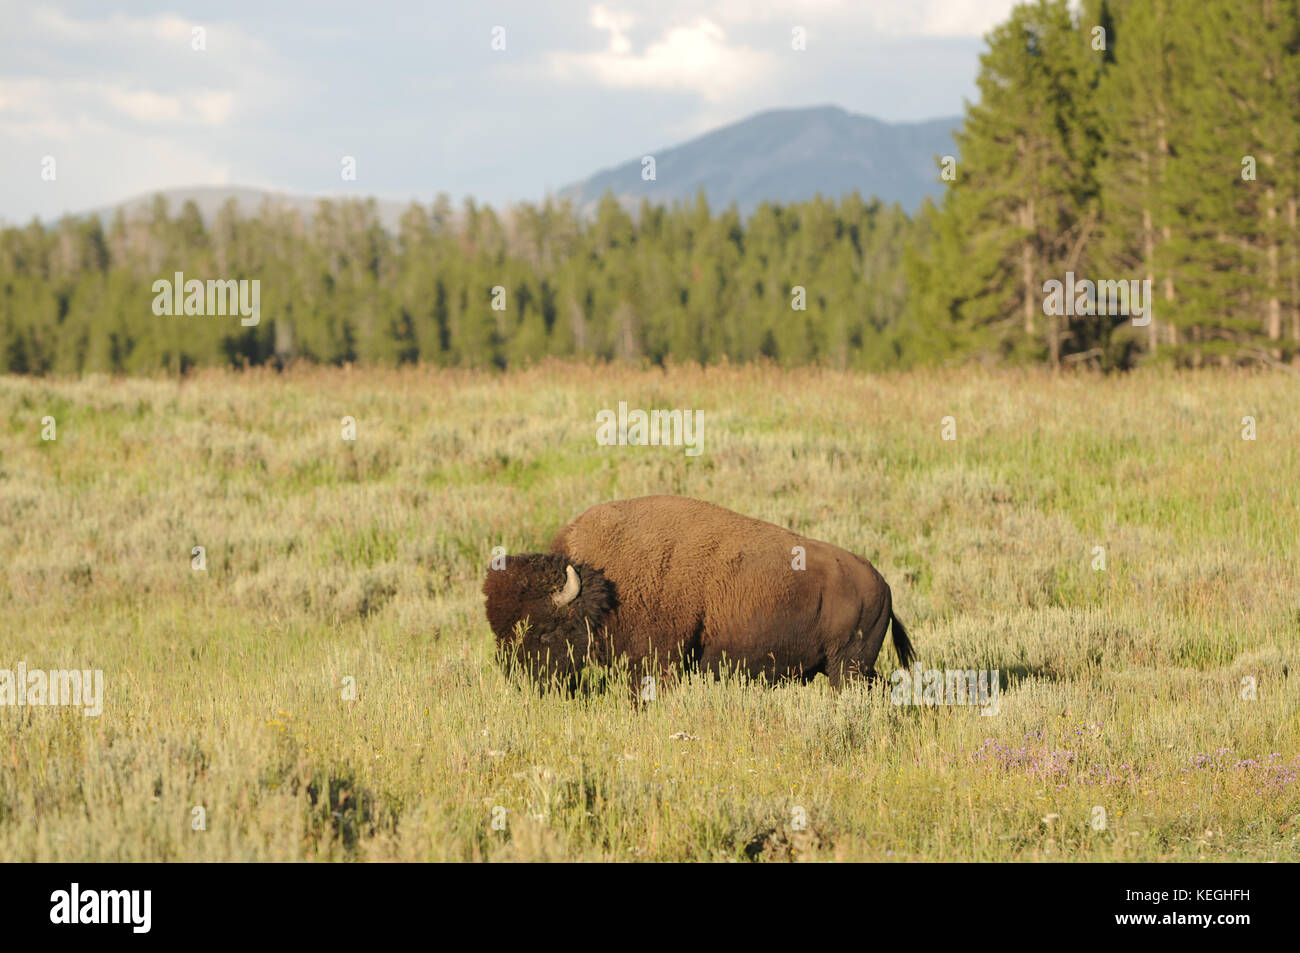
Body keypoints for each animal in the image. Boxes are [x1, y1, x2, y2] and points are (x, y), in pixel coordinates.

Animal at [483, 494, 920, 686]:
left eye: (544, 631)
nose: (523, 681)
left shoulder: (659, 662)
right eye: (498, 631)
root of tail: (882, 584)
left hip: (847, 668)